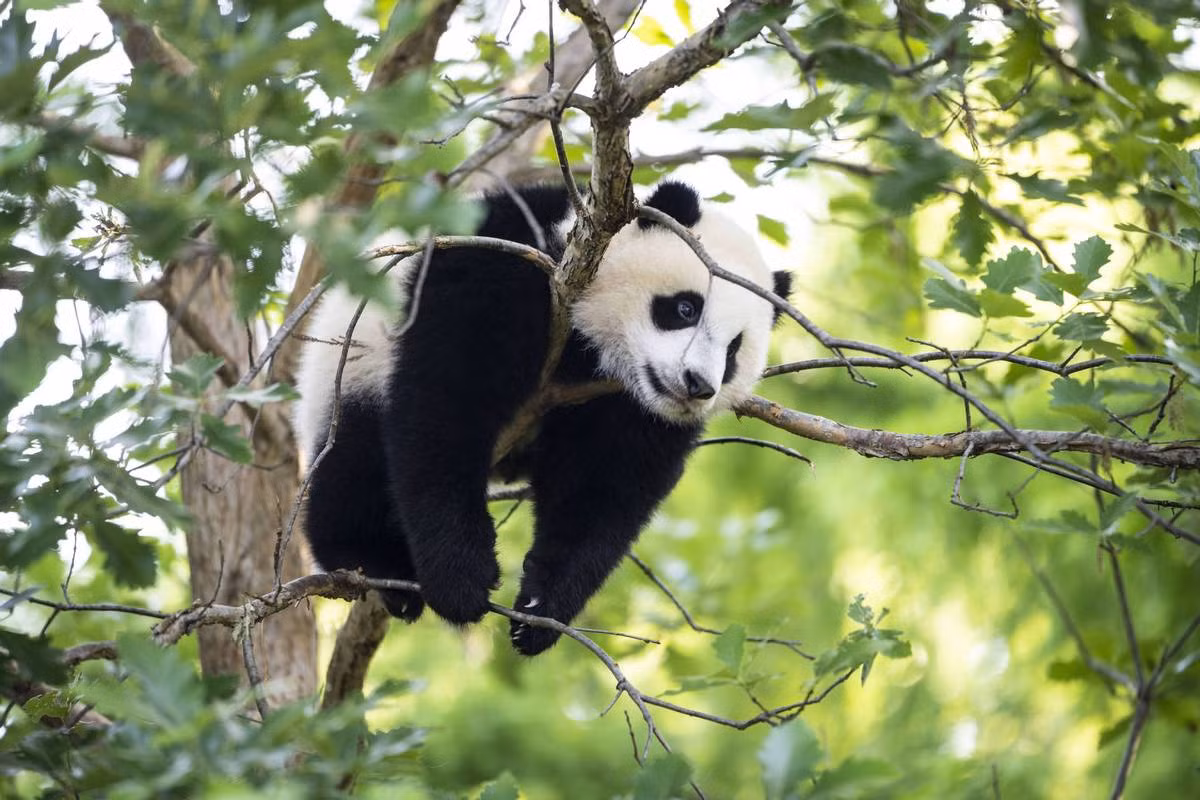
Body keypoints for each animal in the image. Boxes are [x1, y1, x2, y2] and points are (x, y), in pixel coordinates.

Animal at [294, 180, 791, 656]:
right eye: (686, 308)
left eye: (734, 350)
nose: (697, 385)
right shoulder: (502, 269)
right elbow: (446, 403)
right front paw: (462, 580)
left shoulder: (629, 409)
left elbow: (605, 485)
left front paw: (539, 610)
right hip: (351, 371)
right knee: (352, 465)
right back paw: (373, 563)